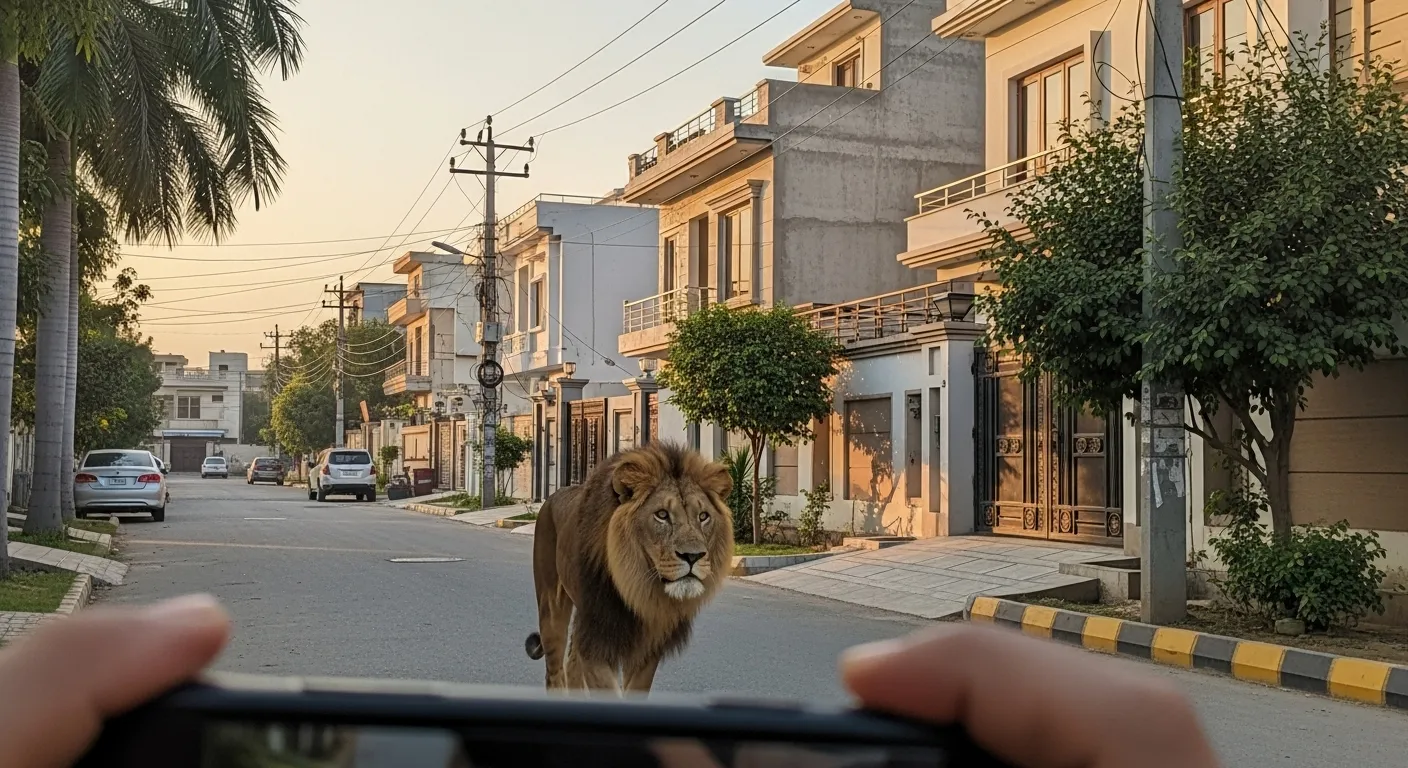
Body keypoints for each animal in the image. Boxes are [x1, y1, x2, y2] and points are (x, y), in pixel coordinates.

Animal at [524, 442, 733, 694]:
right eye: (662, 515)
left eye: (703, 516)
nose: (693, 556)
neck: (637, 586)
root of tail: (553, 495)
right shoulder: (598, 637)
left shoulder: (649, 646)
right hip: (552, 606)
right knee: (554, 672)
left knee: (572, 664)